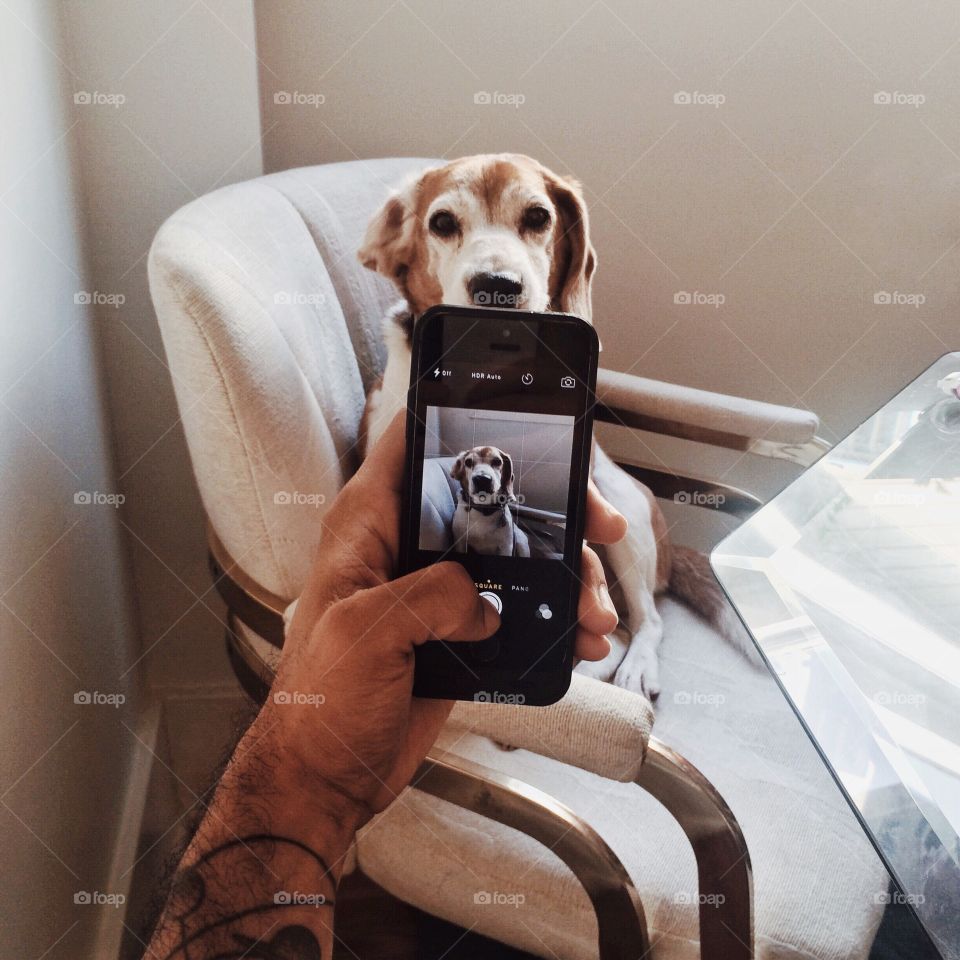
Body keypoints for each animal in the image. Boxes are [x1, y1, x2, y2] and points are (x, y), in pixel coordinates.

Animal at [356, 154, 740, 700]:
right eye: (442, 222)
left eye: (538, 217)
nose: (498, 285)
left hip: (622, 512)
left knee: (643, 624)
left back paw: (632, 669)